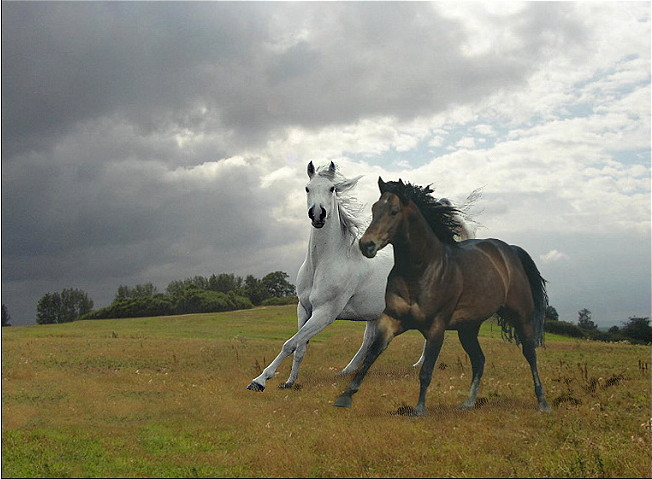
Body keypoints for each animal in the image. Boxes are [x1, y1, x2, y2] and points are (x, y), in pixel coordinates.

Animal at [247, 162, 476, 394]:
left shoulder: (325, 312)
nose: (318, 215)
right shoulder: (304, 309)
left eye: (332, 189)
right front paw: (289, 382)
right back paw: (347, 372)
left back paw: (417, 365)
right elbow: (299, 347)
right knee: (369, 342)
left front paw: (259, 381)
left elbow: (291, 343)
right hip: (376, 313)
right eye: (307, 188)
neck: (324, 262)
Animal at [334, 178, 552, 414]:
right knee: (479, 360)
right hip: (468, 329)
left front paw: (419, 409)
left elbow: (426, 370)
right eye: (374, 209)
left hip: (521, 316)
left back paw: (542, 403)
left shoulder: (437, 327)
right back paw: (468, 403)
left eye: (393, 211)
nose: (366, 245)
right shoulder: (390, 321)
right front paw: (345, 396)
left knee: (530, 354)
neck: (422, 271)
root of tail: (510, 250)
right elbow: (371, 356)